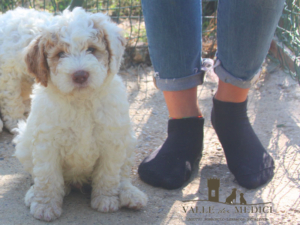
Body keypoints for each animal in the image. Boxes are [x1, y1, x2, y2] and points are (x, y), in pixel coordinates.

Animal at [12, 7, 148, 221]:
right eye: (60, 54)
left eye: (91, 49)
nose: (80, 75)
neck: (81, 101)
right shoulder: (47, 143)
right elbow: (47, 175)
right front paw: (45, 206)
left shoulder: (112, 141)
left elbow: (109, 173)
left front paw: (106, 200)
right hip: (24, 142)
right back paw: (35, 193)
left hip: (128, 140)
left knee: (124, 175)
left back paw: (130, 194)